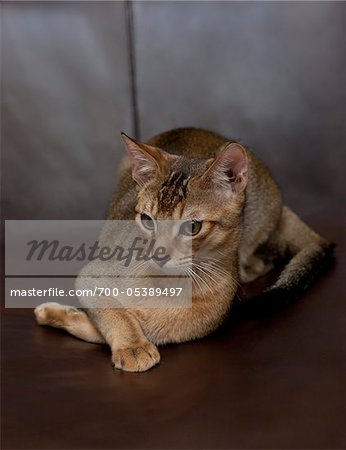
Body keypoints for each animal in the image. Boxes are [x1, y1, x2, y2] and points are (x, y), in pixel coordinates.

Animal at [34, 127, 332, 372]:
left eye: (192, 227)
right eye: (147, 220)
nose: (158, 255)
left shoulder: (207, 320)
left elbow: (149, 326)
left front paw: (132, 343)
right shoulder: (91, 275)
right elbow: (111, 314)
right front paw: (130, 344)